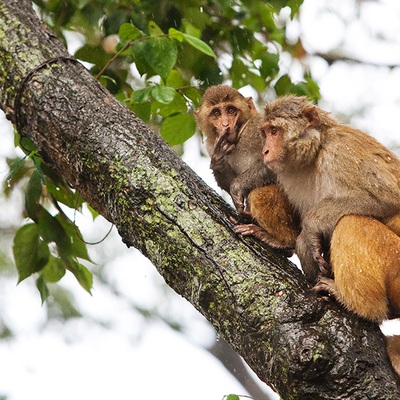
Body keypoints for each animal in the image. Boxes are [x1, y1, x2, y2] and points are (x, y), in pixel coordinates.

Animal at [195, 86, 302, 252]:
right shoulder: (211, 146)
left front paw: (237, 187)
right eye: (216, 113)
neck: (240, 137)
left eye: (231, 110)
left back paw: (283, 241)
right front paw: (218, 161)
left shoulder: (258, 130)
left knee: (260, 193)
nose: (225, 125)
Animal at [260, 96, 400, 284]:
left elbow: (388, 198)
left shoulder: (340, 150)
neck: (317, 150)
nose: (265, 151)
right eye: (266, 133)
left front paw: (307, 233)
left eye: (274, 131)